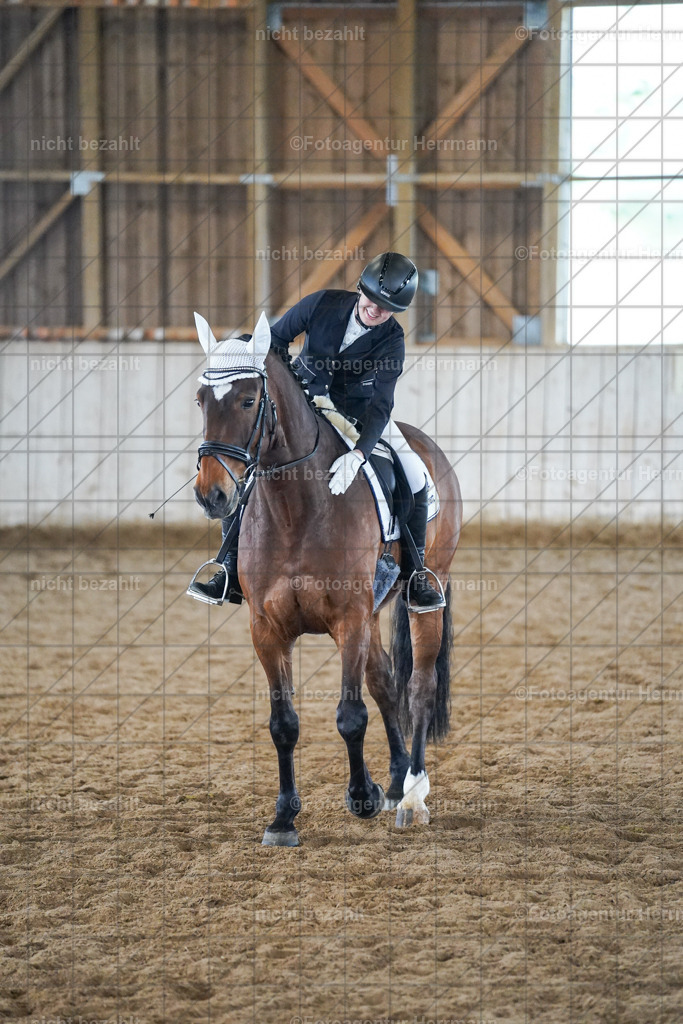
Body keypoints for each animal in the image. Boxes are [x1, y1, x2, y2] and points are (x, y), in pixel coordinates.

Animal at [192, 312, 462, 846]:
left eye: (248, 400)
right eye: (200, 399)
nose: (212, 495)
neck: (295, 508)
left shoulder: (348, 620)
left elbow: (350, 716)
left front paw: (362, 797)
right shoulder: (266, 629)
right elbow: (284, 724)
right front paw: (283, 818)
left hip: (425, 595)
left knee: (418, 687)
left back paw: (413, 795)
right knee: (386, 682)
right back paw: (397, 781)